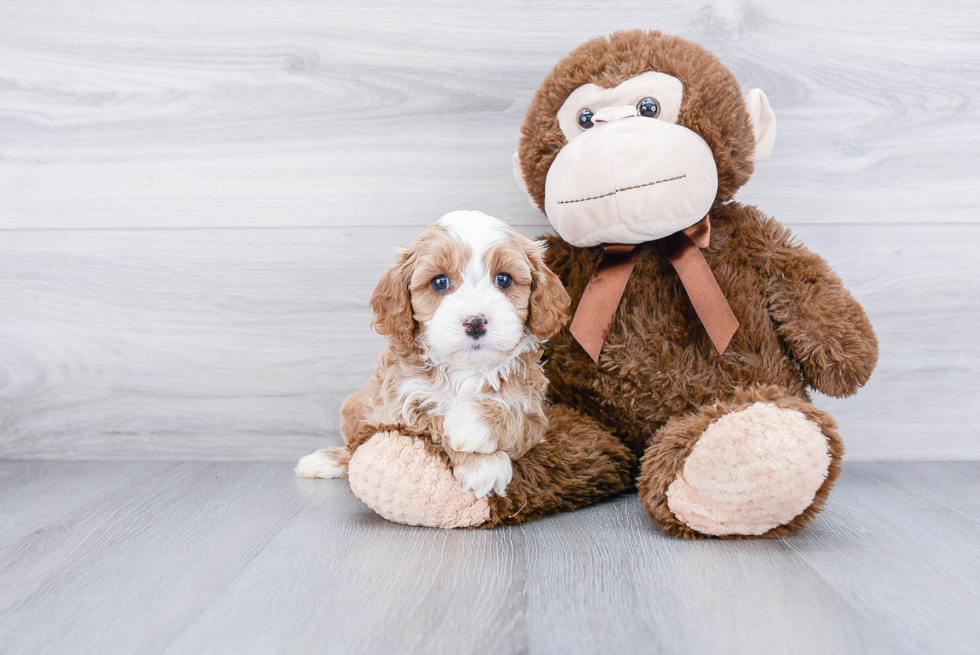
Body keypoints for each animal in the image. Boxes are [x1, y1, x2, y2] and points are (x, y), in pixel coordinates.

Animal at [300, 210, 576, 498]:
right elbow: (430, 418)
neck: (466, 369)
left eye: (504, 279)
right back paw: (325, 460)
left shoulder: (534, 409)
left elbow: (517, 418)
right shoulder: (397, 406)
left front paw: (471, 422)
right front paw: (483, 464)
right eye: (439, 282)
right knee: (354, 443)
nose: (475, 323)